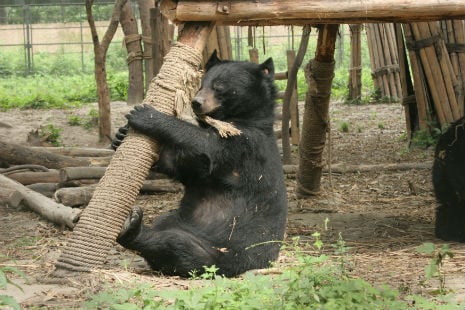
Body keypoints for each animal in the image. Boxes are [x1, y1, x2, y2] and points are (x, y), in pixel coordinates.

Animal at [113, 52, 286, 278]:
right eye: (201, 85)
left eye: (219, 86)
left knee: (179, 249)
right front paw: (119, 136)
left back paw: (132, 228)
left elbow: (206, 143)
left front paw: (146, 115)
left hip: (226, 252)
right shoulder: (202, 169)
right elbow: (186, 167)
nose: (196, 103)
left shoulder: (246, 144)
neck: (234, 118)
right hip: (180, 221)